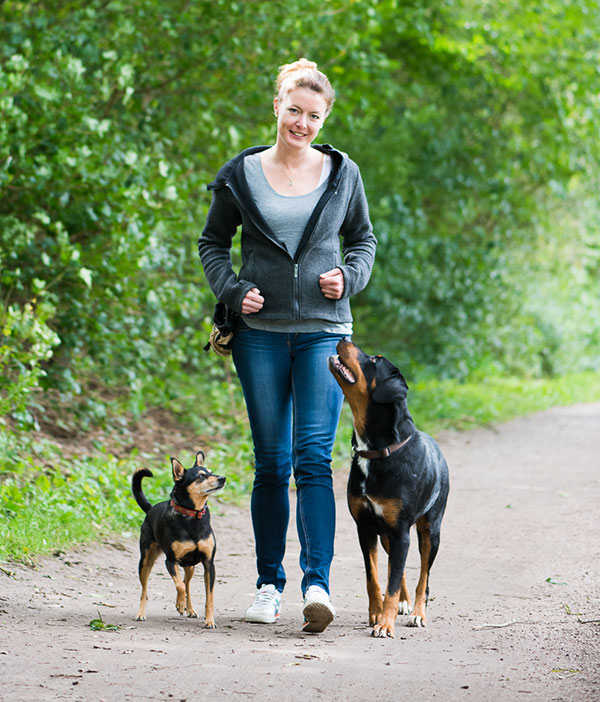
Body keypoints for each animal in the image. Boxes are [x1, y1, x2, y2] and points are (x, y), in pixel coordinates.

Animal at [131, 454, 225, 628]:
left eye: (211, 471)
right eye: (201, 476)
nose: (223, 478)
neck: (193, 515)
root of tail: (151, 508)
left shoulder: (209, 564)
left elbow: (208, 597)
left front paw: (209, 621)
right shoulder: (170, 560)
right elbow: (179, 585)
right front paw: (180, 604)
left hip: (190, 566)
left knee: (187, 583)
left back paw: (190, 609)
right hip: (145, 561)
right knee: (145, 591)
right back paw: (141, 613)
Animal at [328, 338, 450, 640]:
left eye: (373, 360)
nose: (344, 339)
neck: (377, 451)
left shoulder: (400, 530)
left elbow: (394, 582)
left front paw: (385, 623)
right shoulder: (366, 528)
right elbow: (375, 577)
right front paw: (377, 613)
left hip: (430, 530)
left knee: (423, 577)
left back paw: (418, 612)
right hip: (388, 535)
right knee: (400, 567)